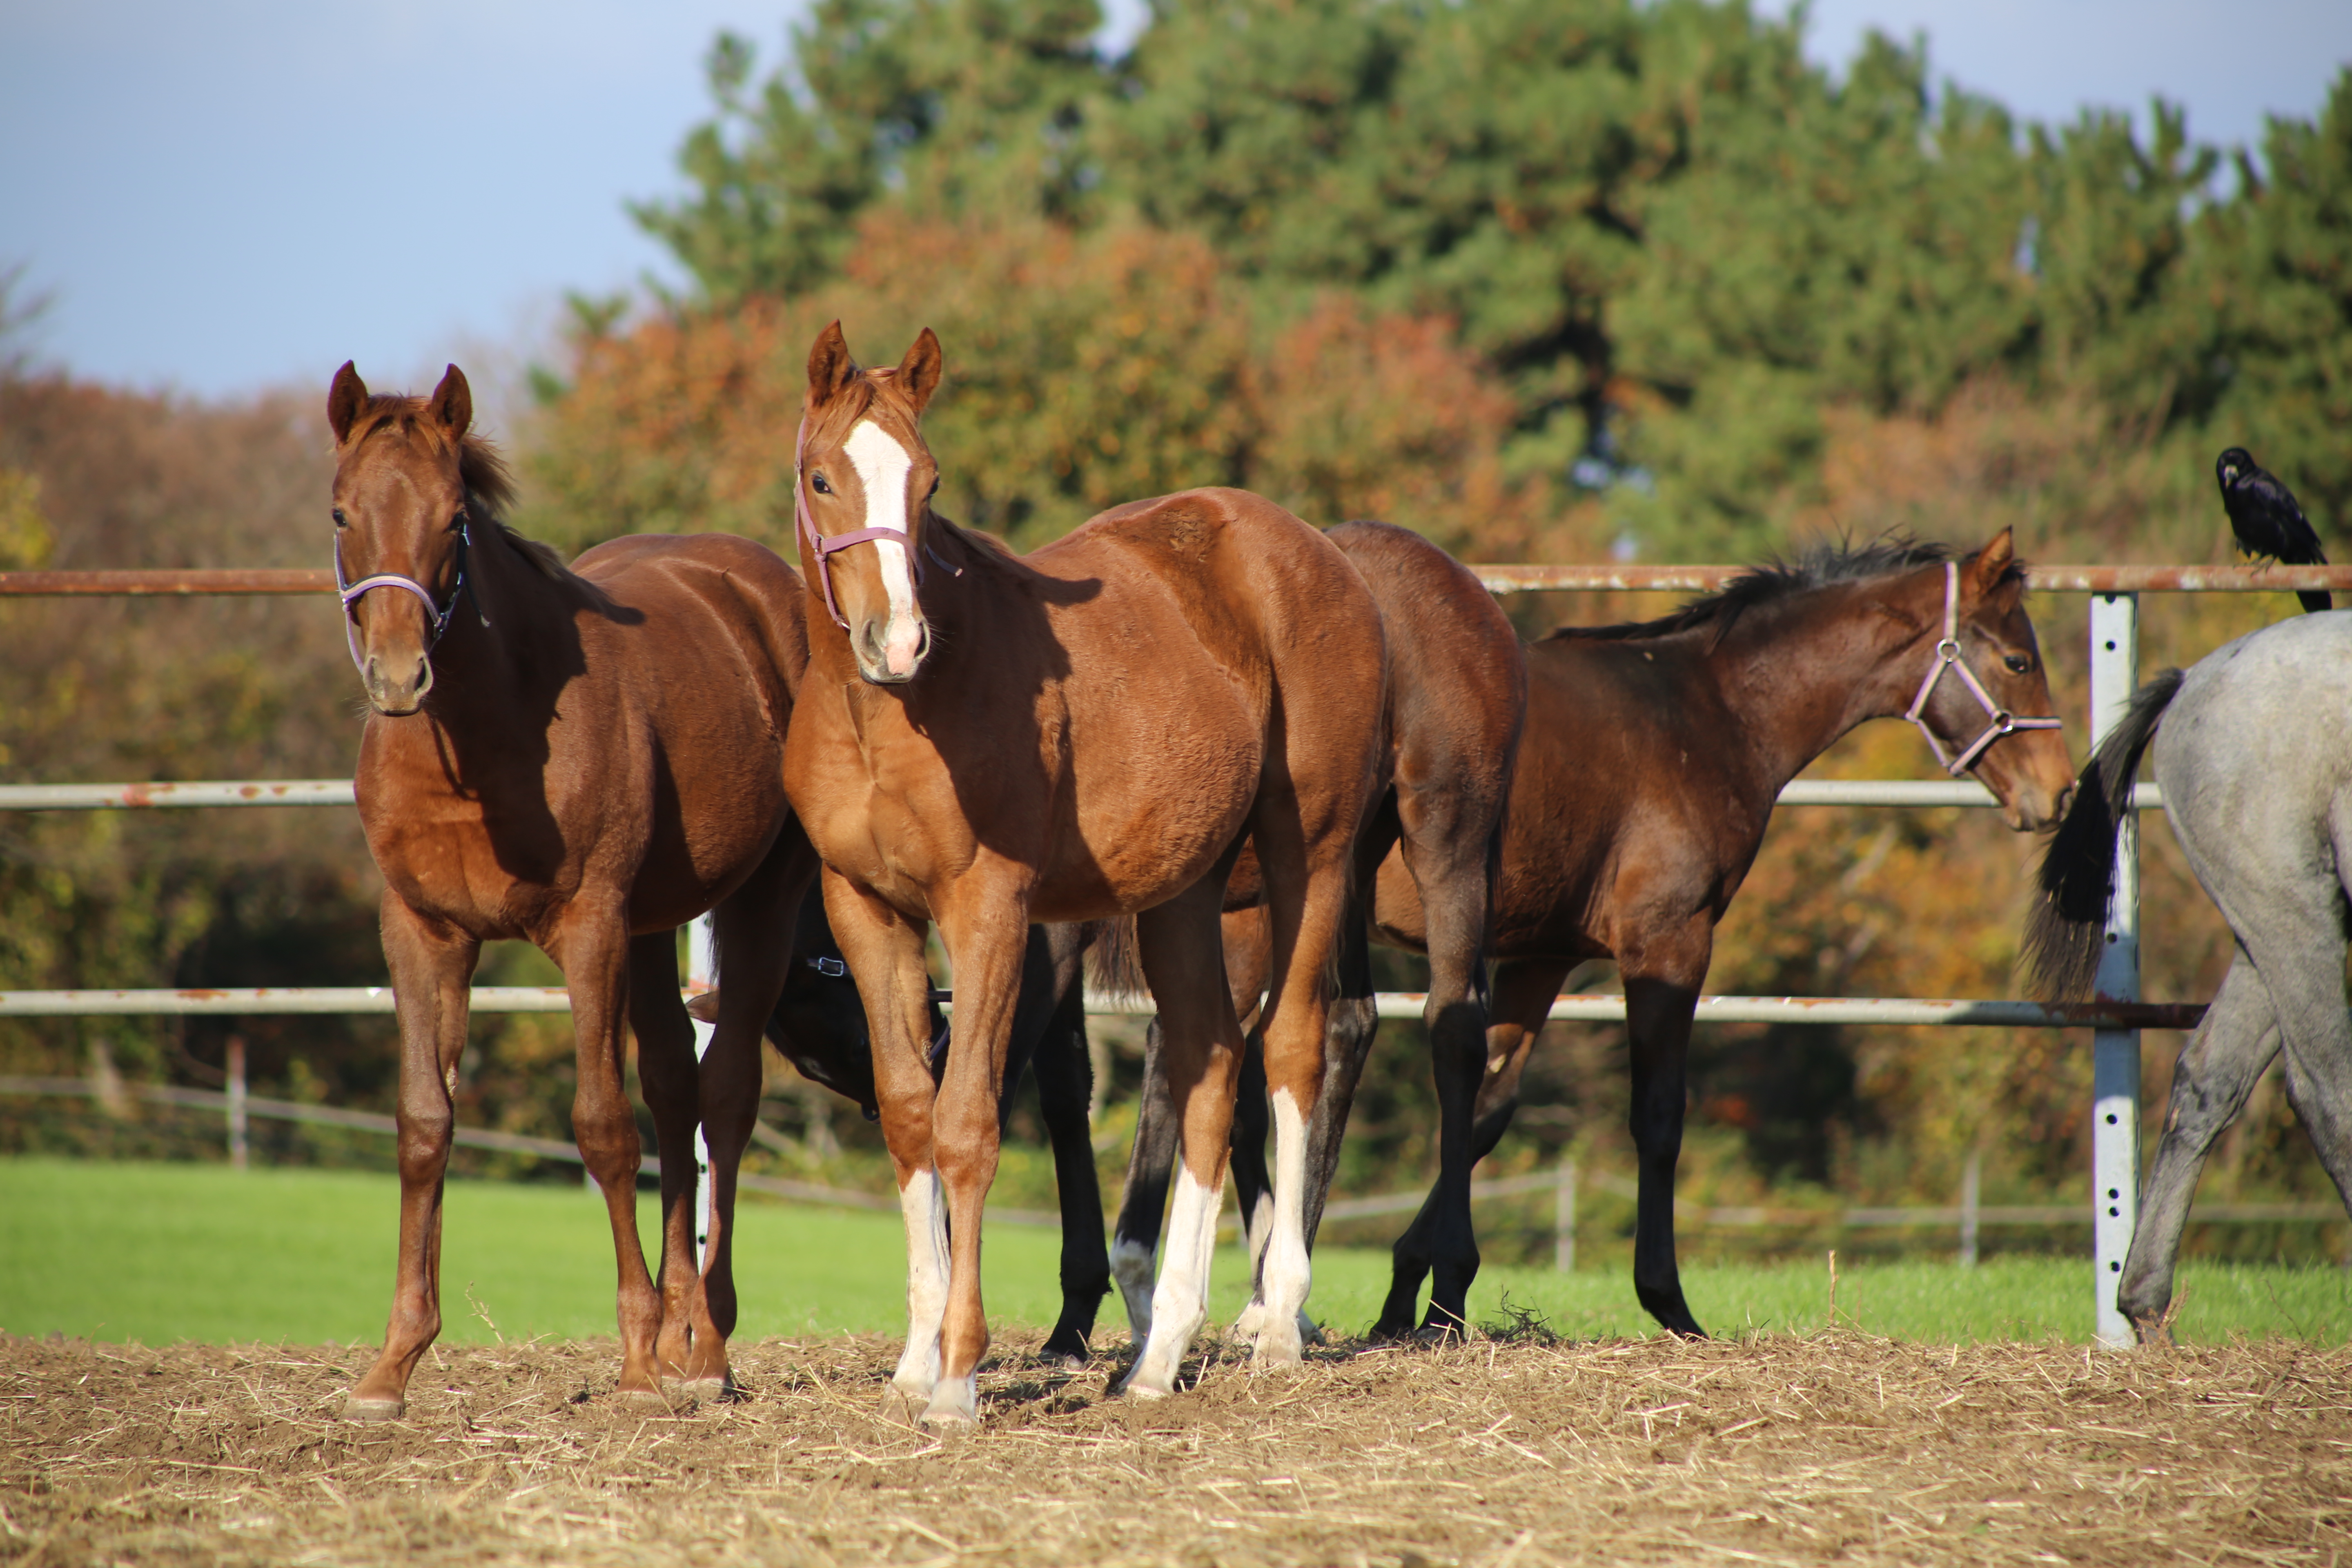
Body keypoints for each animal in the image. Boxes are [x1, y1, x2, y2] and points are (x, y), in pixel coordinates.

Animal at [327, 362, 813, 1420]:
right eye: (342, 512)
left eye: (453, 519)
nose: (398, 674)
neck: (482, 732)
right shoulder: (422, 931)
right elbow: (425, 1123)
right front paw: (392, 1364)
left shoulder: (589, 927)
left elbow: (601, 1126)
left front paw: (633, 1363)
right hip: (653, 926)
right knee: (676, 1088)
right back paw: (680, 1333)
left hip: (758, 900)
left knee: (724, 1096)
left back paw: (704, 1347)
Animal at [781, 324, 1383, 1429]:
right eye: (823, 477)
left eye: (928, 482)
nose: (899, 640)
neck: (884, 715)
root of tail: (1312, 550)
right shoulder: (864, 909)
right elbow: (909, 1113)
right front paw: (914, 1359)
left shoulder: (989, 907)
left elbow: (969, 1121)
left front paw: (958, 1377)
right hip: (1184, 891)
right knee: (1207, 1058)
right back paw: (1157, 1353)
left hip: (1307, 856)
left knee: (1290, 1049)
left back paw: (1276, 1324)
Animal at [1364, 536, 2079, 1335]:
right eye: (2019, 661)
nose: (2058, 790)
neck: (1709, 712)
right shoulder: (1669, 943)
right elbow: (1658, 1116)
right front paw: (1669, 1303)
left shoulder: (1540, 957)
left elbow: (1487, 1109)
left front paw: (1410, 1299)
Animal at [2022, 606, 2352, 1345]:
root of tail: (2194, 682)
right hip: (2292, 906)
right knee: (2323, 1086)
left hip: (2269, 922)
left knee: (2211, 1079)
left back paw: (2144, 1302)